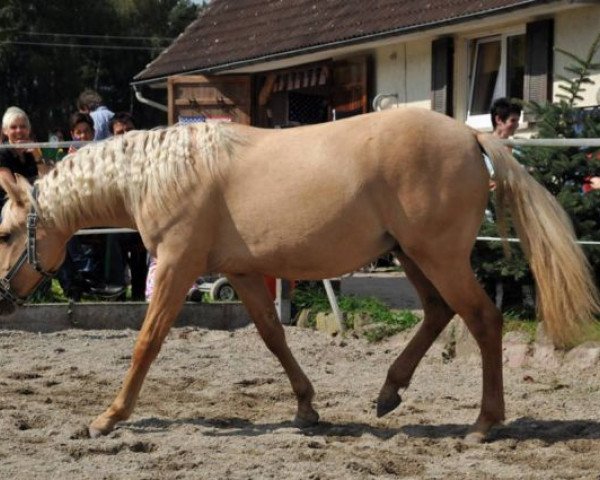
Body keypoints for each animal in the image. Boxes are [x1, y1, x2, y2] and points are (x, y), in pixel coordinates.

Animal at [0, 109, 596, 442]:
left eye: (5, 234)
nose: (3, 296)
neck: (161, 174)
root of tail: (471, 139)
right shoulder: (241, 272)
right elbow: (272, 335)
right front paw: (307, 407)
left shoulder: (175, 267)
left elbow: (147, 343)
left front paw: (107, 418)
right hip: (412, 255)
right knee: (437, 312)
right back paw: (388, 393)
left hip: (439, 257)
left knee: (483, 320)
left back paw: (482, 424)